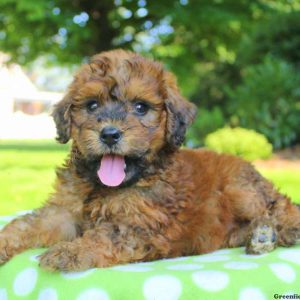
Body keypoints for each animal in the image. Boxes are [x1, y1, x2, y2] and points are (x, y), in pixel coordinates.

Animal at [0, 49, 300, 272]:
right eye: (92, 105)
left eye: (140, 107)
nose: (109, 134)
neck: (105, 186)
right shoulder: (63, 211)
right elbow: (27, 224)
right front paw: (4, 241)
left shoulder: (143, 226)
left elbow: (104, 235)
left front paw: (70, 251)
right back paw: (261, 235)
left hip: (241, 190)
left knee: (280, 205)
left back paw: (284, 230)